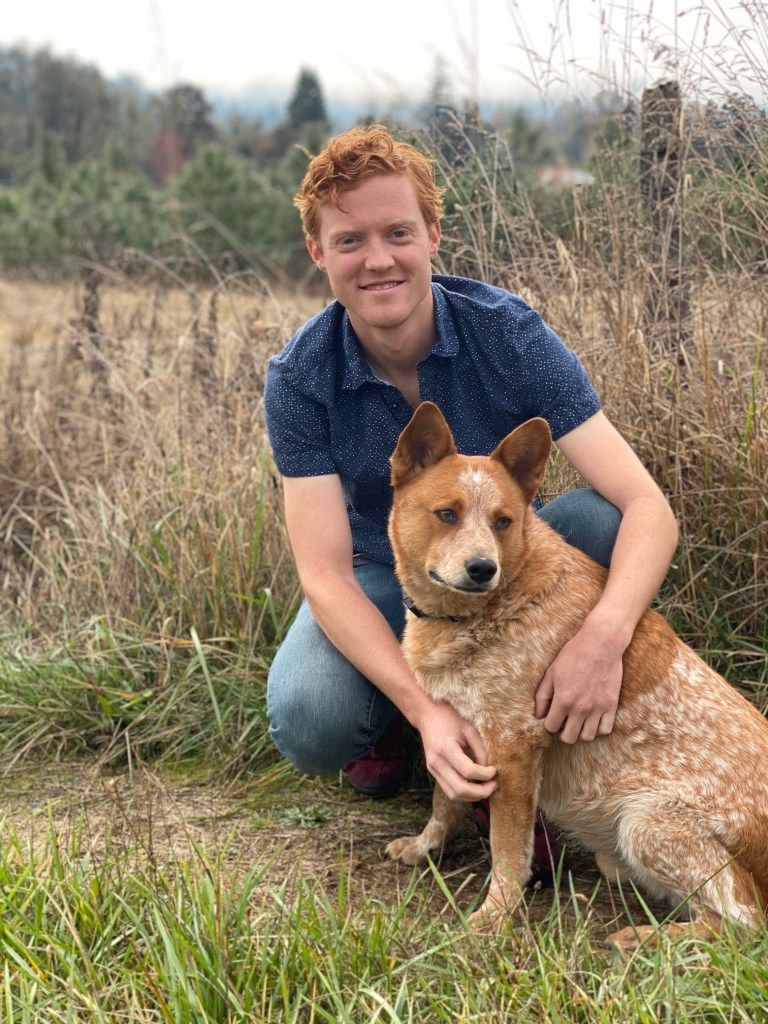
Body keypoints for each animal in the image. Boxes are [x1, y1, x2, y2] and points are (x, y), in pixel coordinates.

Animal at [385, 401, 768, 945]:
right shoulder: (462, 732)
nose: (483, 568)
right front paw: (425, 845)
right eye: (447, 514)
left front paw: (496, 916)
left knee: (744, 924)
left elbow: (507, 850)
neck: (489, 611)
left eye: (504, 521)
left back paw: (642, 939)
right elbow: (445, 798)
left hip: (646, 820)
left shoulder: (514, 746)